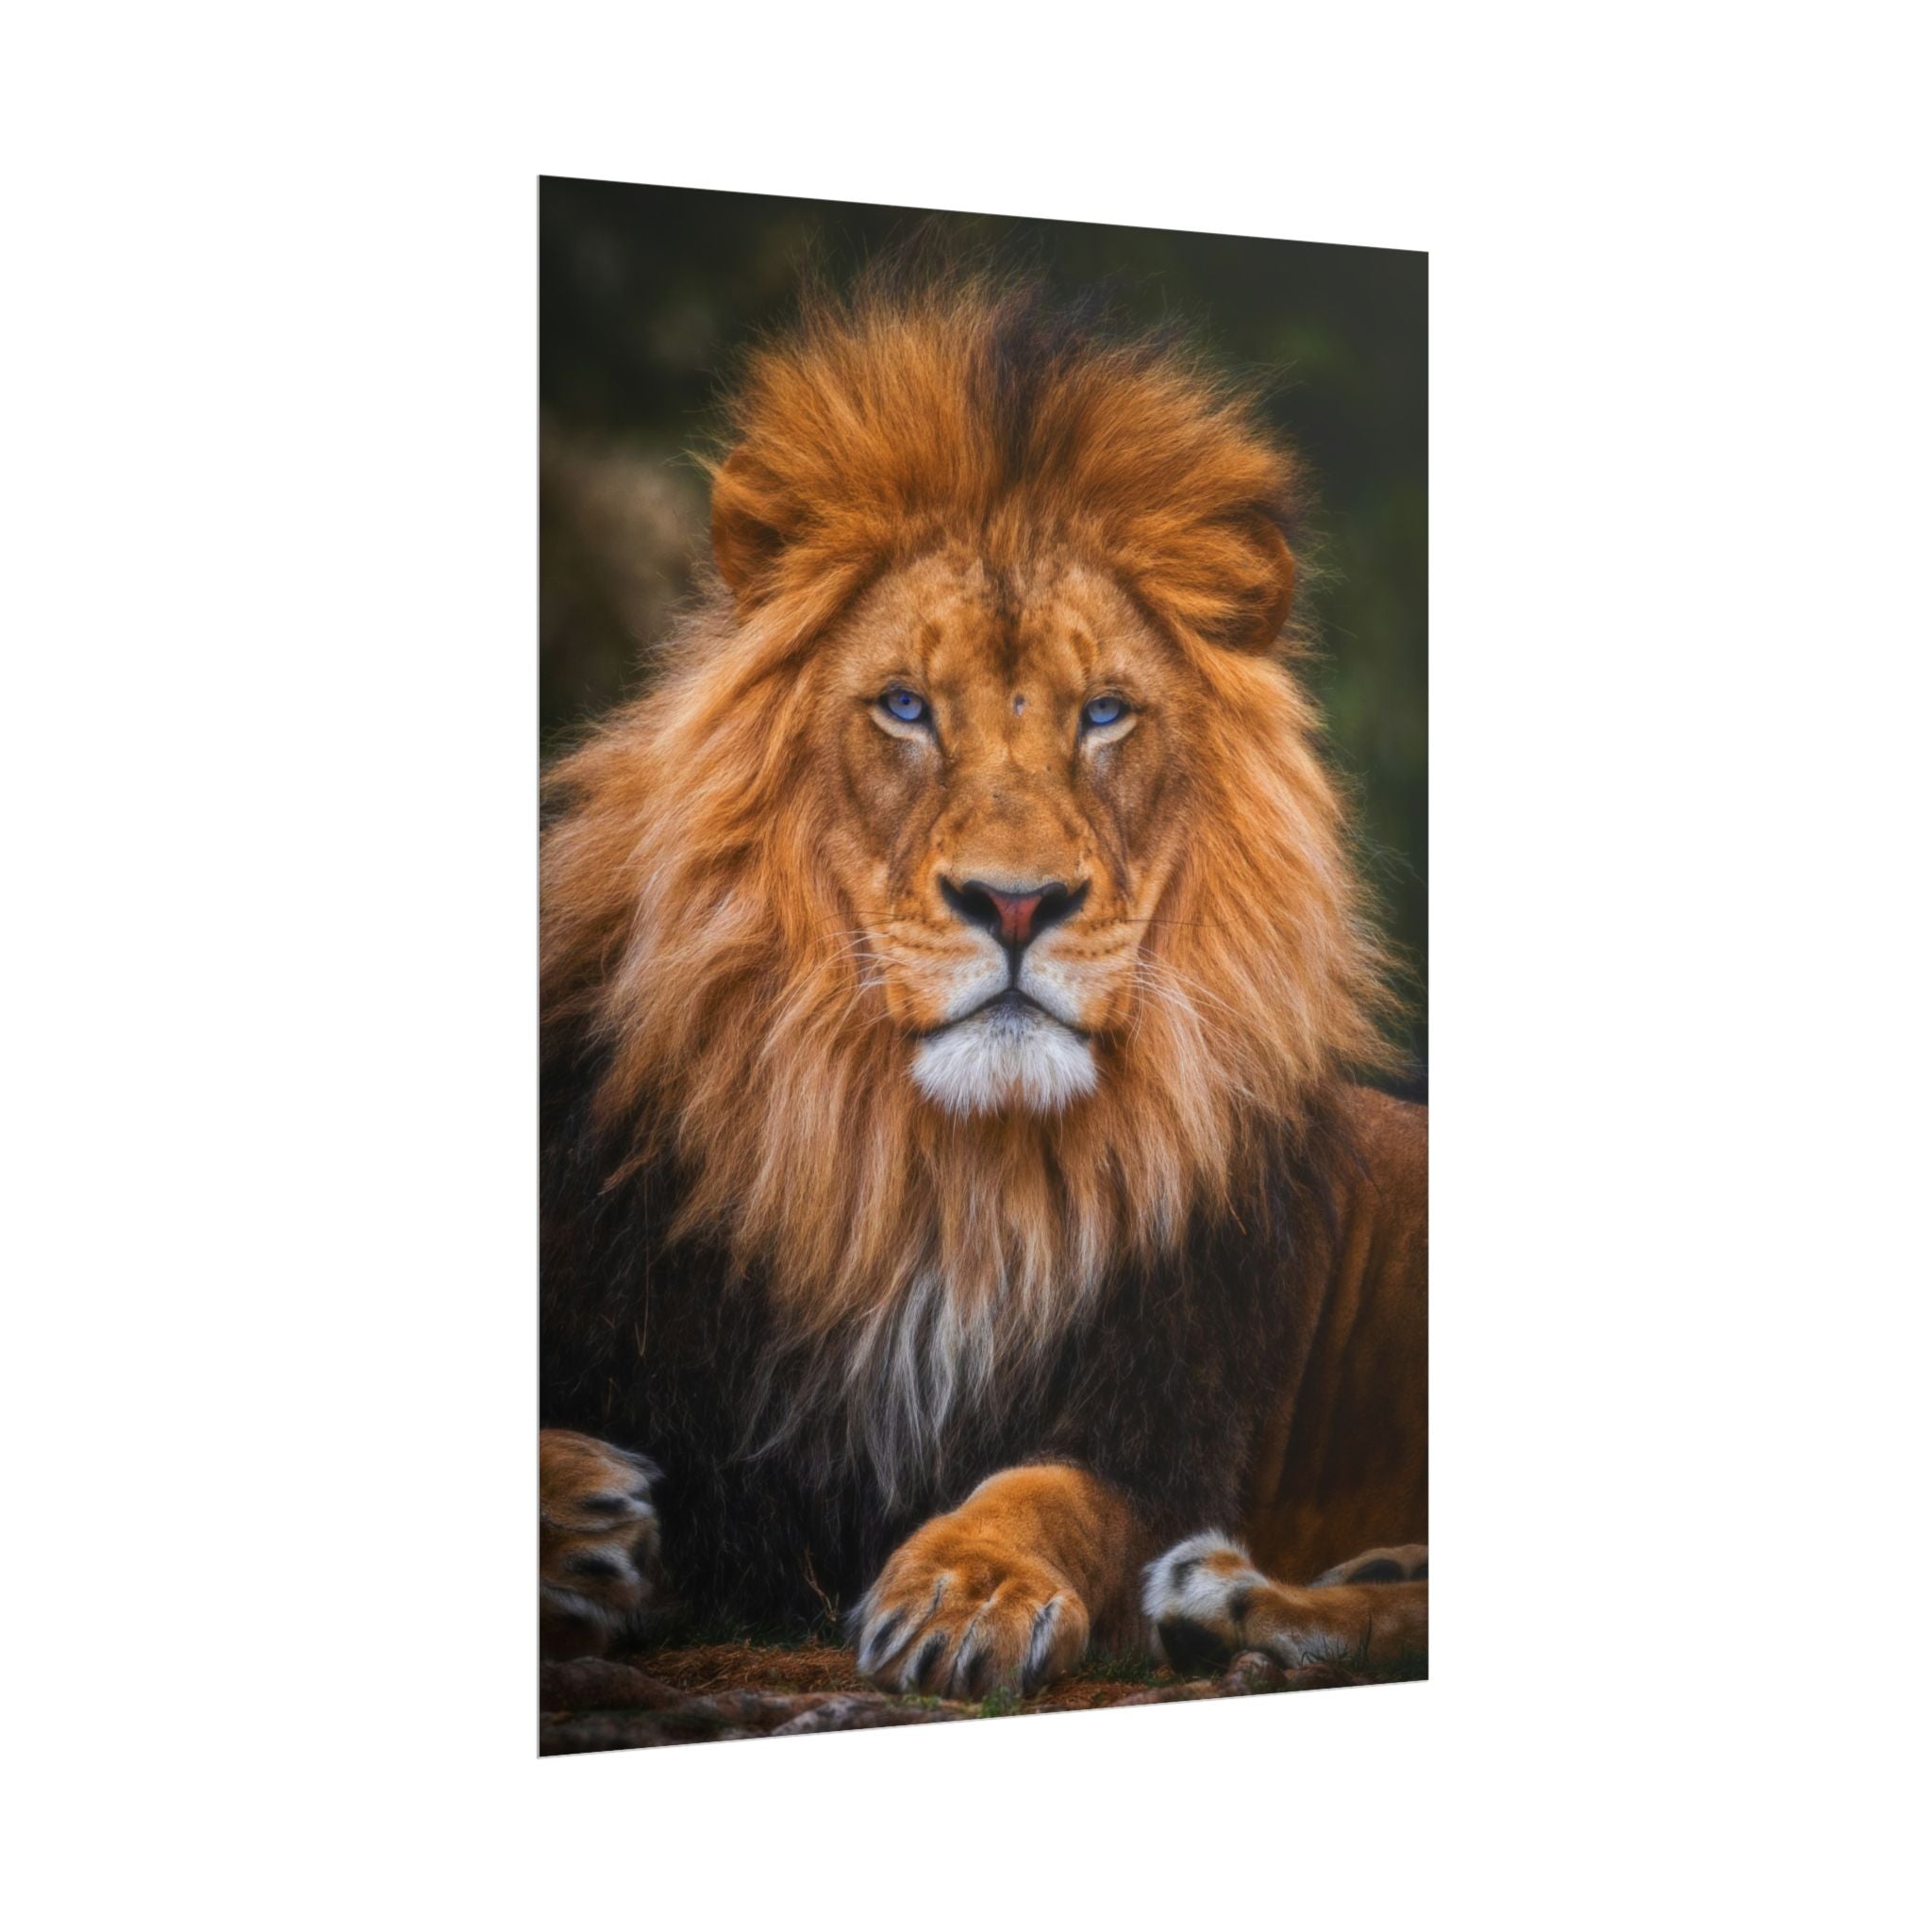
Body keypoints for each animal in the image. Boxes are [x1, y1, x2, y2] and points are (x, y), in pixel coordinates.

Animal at [538, 274, 1427, 1697]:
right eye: (905, 706)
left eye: (1104, 714)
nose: (1015, 904)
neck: (937, 1179)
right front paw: (580, 1516)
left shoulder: (1162, 1424)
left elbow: (1050, 1491)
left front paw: (967, 1587)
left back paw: (1238, 1602)